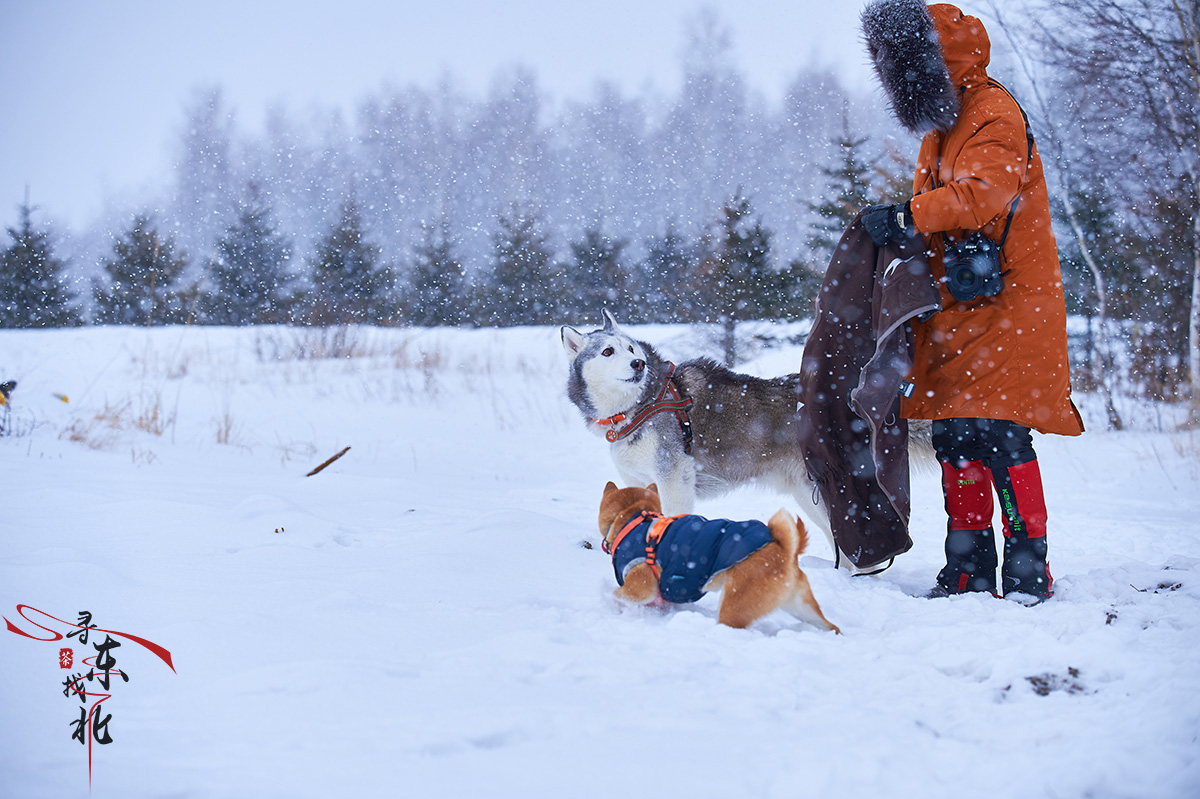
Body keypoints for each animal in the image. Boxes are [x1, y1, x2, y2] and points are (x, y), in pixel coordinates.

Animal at [559, 307, 825, 537]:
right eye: (607, 351)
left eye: (631, 348)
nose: (638, 364)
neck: (639, 405)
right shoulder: (638, 481)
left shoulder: (674, 479)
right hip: (806, 494)